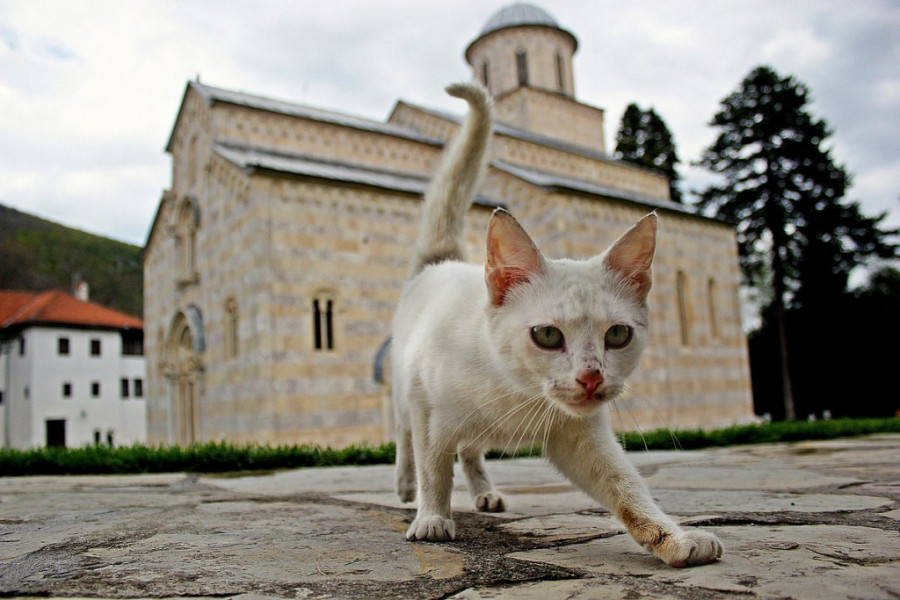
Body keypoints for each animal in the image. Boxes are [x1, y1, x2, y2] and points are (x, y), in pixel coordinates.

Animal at [394, 81, 724, 568]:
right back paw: (405, 486)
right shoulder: (428, 409)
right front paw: (432, 516)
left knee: (471, 450)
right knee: (406, 437)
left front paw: (673, 537)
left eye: (618, 335)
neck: (516, 391)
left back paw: (486, 493)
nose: (591, 378)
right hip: (403, 393)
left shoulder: (580, 436)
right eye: (547, 335)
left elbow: (626, 487)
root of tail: (443, 261)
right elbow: (433, 466)